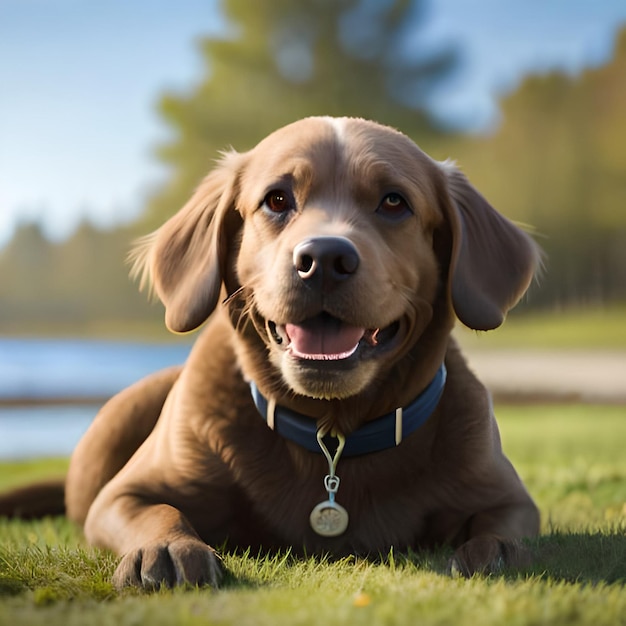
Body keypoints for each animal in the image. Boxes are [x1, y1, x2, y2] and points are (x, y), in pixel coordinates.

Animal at [0, 116, 540, 584]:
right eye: (277, 199)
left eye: (394, 202)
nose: (324, 257)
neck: (331, 437)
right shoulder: (121, 496)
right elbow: (160, 511)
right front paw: (169, 549)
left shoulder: (509, 497)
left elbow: (500, 526)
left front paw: (494, 550)